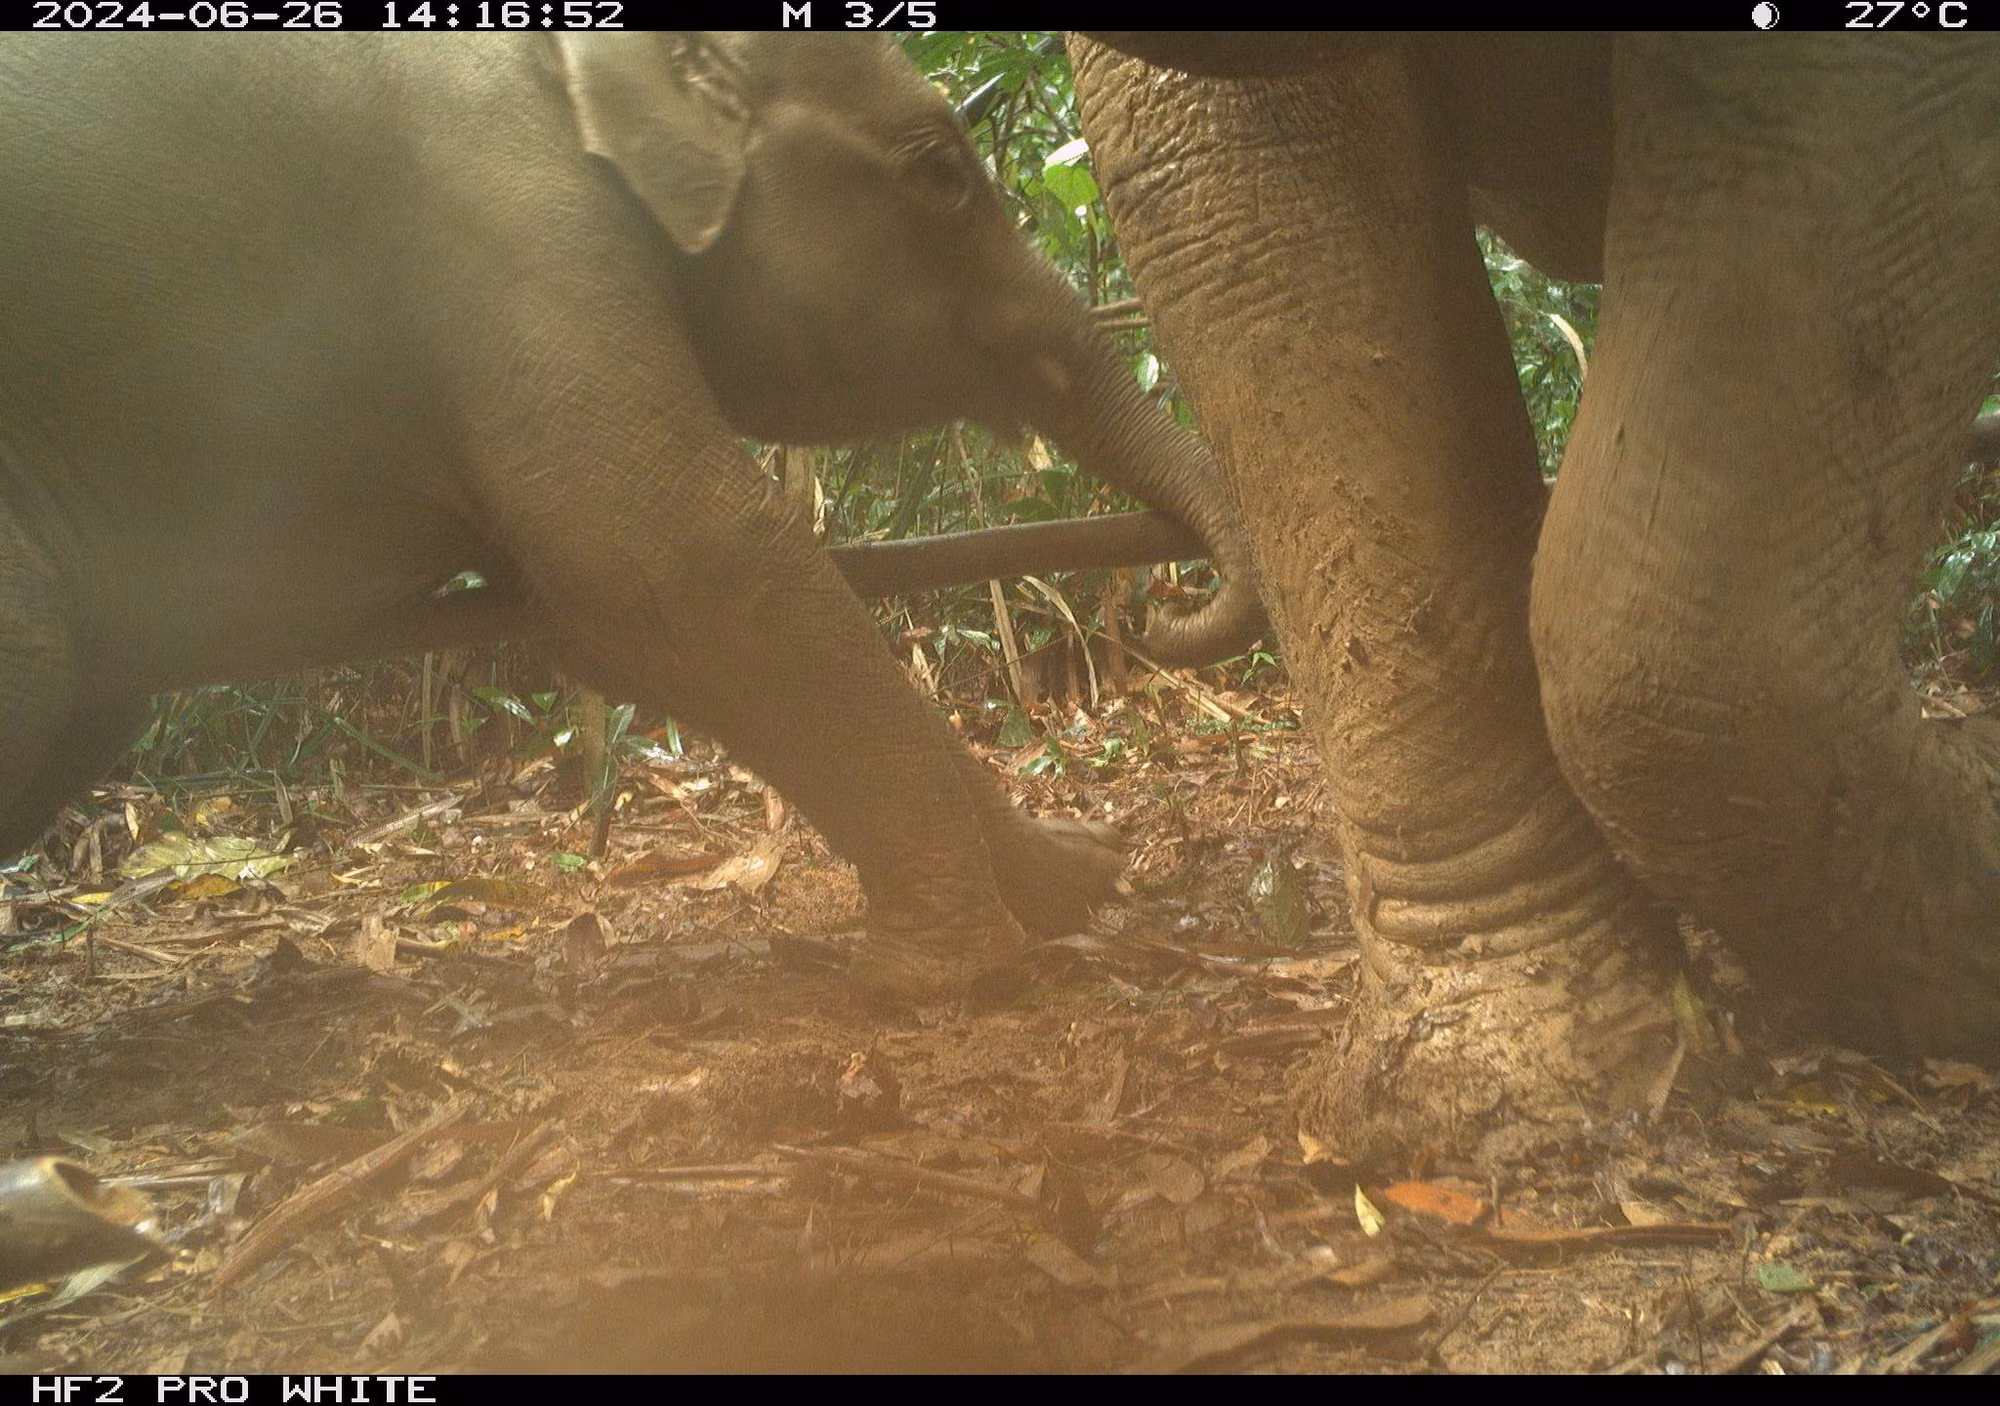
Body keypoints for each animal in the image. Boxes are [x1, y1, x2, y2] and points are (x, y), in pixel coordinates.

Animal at [0, 32, 1265, 998]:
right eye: (940, 171)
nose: (1155, 607)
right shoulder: (500, 221)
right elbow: (688, 557)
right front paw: (935, 971)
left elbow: (608, 621)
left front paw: (1078, 877)